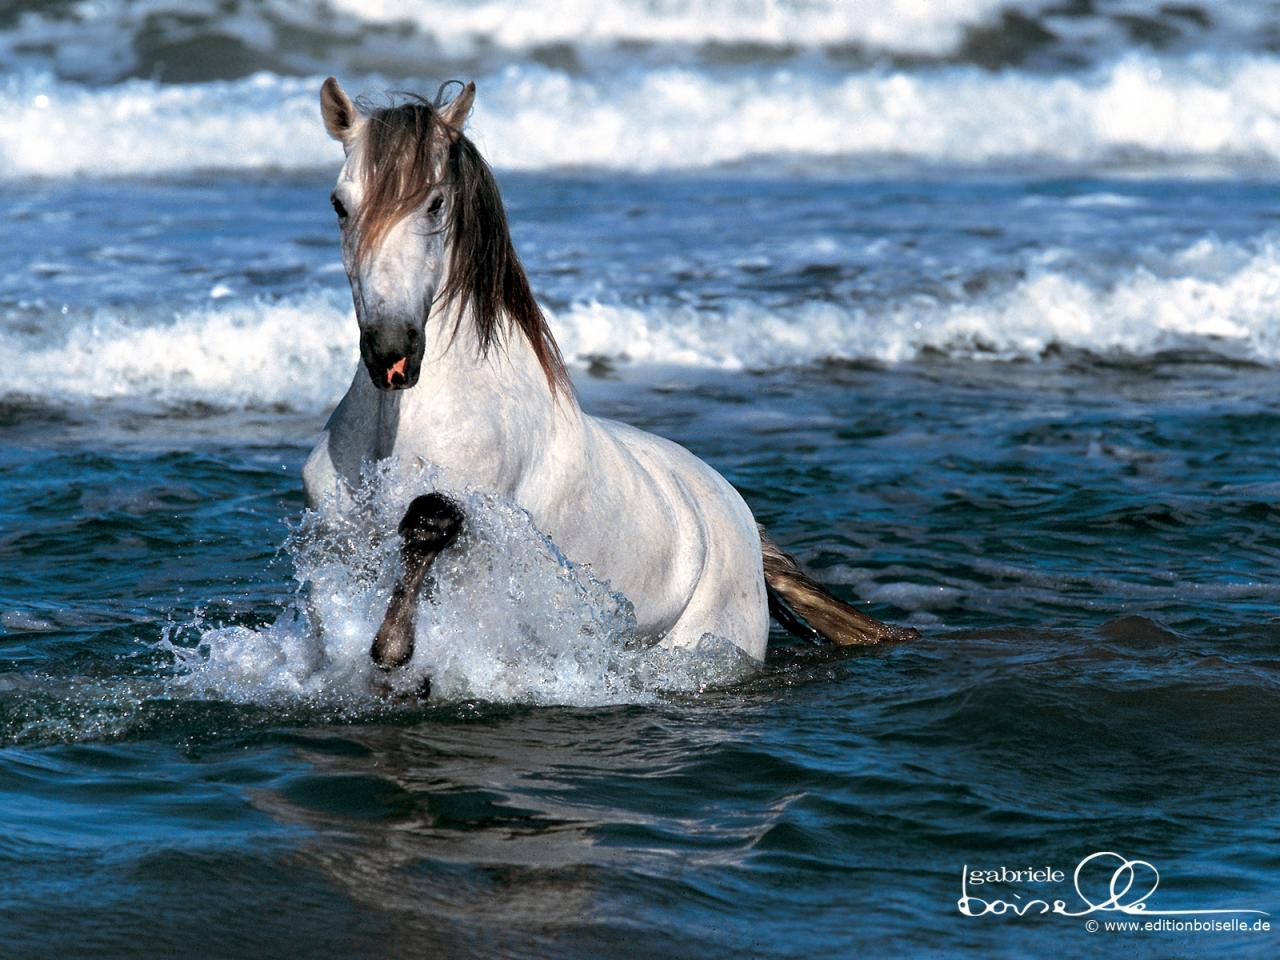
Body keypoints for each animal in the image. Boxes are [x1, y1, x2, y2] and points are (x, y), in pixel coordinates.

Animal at [299, 79, 911, 670]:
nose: (392, 352)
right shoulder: (336, 538)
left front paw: (393, 650)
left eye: (435, 203)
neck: (398, 426)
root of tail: (743, 521)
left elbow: (429, 524)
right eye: (339, 204)